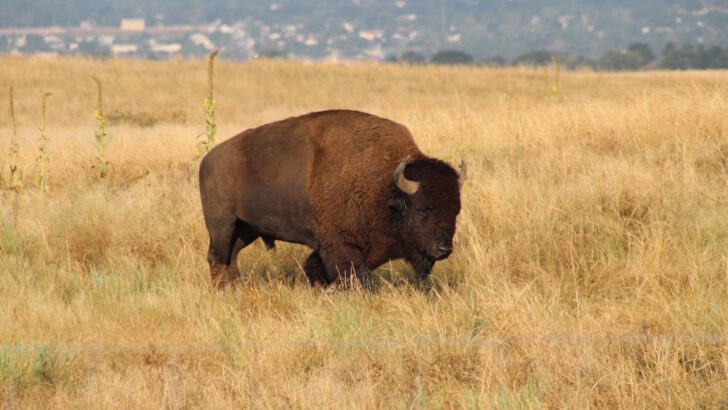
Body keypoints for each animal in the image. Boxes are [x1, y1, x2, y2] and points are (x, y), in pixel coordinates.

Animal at [199, 110, 465, 289]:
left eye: (456, 211)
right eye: (421, 209)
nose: (444, 249)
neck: (384, 186)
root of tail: (208, 159)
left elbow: (317, 267)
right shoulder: (340, 245)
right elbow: (350, 273)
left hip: (247, 229)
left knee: (231, 257)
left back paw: (236, 287)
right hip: (222, 225)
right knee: (217, 257)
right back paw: (224, 290)